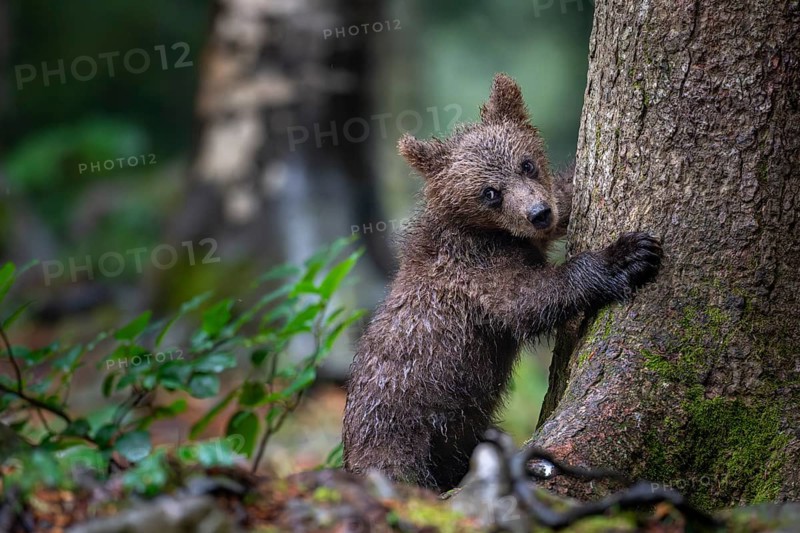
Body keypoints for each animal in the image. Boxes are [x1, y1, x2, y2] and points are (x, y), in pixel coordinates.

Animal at [342, 73, 662, 491]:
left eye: (526, 164)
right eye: (490, 193)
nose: (538, 213)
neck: (486, 232)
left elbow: (564, 195)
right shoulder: (478, 270)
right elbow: (529, 300)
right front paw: (626, 255)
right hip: (399, 432)